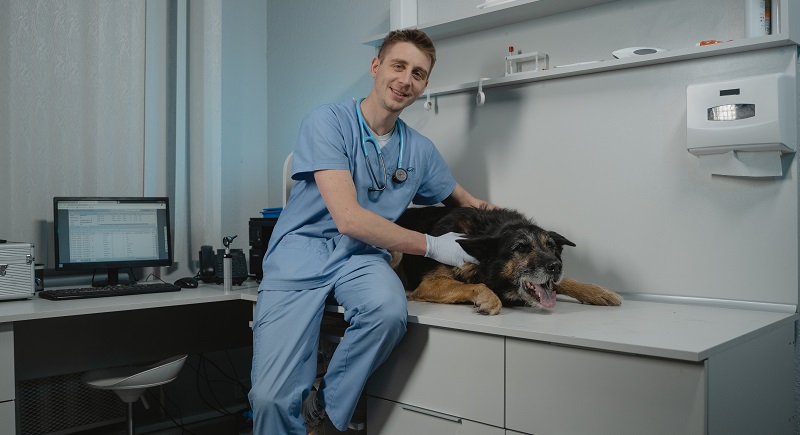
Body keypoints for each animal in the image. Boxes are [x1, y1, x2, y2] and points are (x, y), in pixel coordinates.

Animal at [390, 206, 620, 316]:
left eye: (552, 247)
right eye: (521, 248)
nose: (556, 266)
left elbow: (566, 282)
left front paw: (598, 291)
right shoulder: (430, 283)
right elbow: (477, 285)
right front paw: (489, 299)